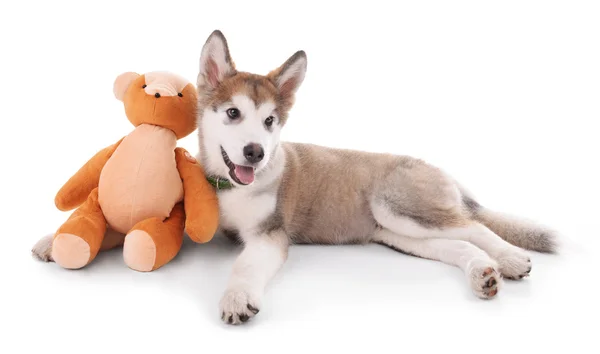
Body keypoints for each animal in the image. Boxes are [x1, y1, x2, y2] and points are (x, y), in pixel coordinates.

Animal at [32, 30, 556, 326]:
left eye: (269, 121)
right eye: (233, 113)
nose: (255, 152)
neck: (232, 189)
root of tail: (438, 169)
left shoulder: (269, 236)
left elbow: (243, 267)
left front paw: (238, 297)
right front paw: (52, 240)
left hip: (400, 206)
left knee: (477, 227)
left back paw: (510, 259)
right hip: (396, 233)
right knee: (460, 244)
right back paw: (483, 275)